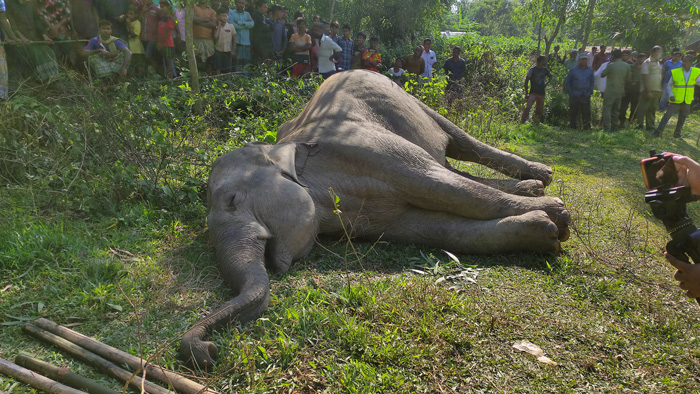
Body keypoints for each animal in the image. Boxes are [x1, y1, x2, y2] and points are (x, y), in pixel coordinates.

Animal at [180, 69, 568, 368]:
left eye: (232, 200)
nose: (206, 350)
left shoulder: (369, 148)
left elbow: (445, 187)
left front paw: (559, 216)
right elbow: (439, 229)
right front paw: (545, 230)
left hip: (407, 98)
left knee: (459, 146)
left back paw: (543, 177)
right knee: (450, 163)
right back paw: (533, 186)